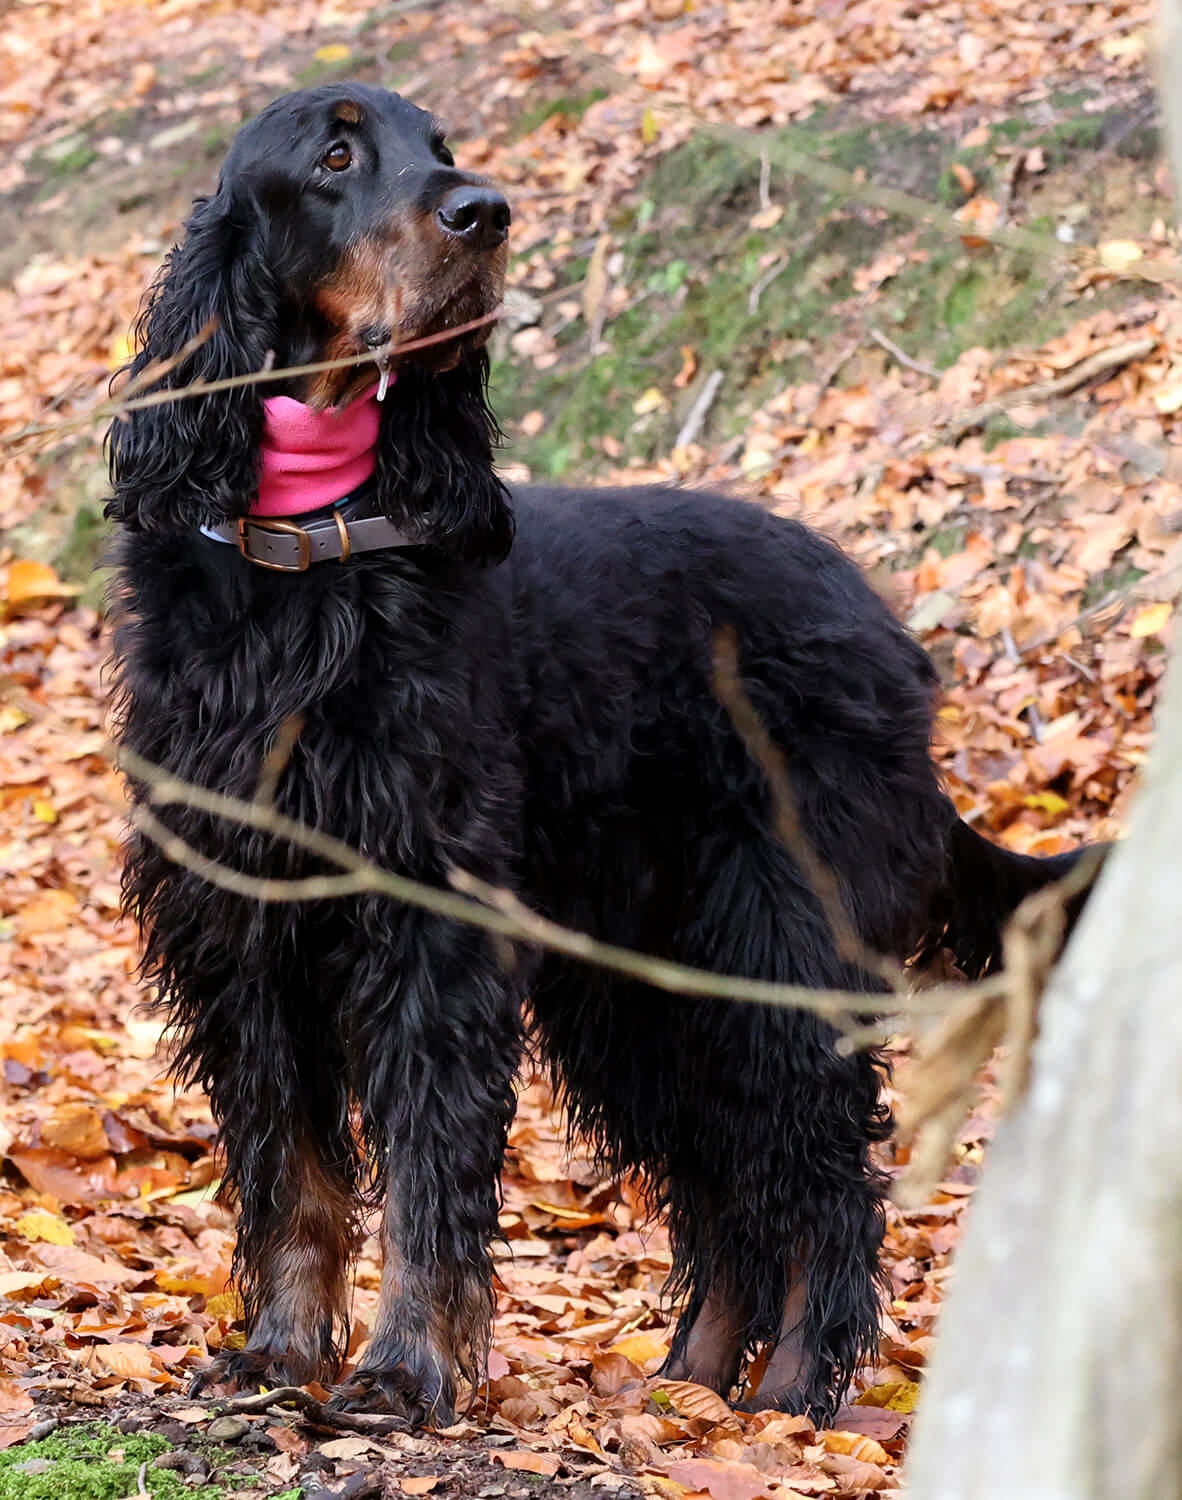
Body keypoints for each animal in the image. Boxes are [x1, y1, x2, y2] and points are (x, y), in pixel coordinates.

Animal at [106, 83, 1095, 1425]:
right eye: (336, 154)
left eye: (442, 149)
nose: (486, 211)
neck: (311, 550)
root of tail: (887, 630)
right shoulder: (243, 935)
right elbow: (291, 1170)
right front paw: (281, 1352)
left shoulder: (431, 925)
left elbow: (428, 1169)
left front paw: (406, 1368)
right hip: (640, 982)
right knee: (726, 1191)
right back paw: (690, 1386)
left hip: (772, 940)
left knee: (823, 1179)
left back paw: (793, 1392)